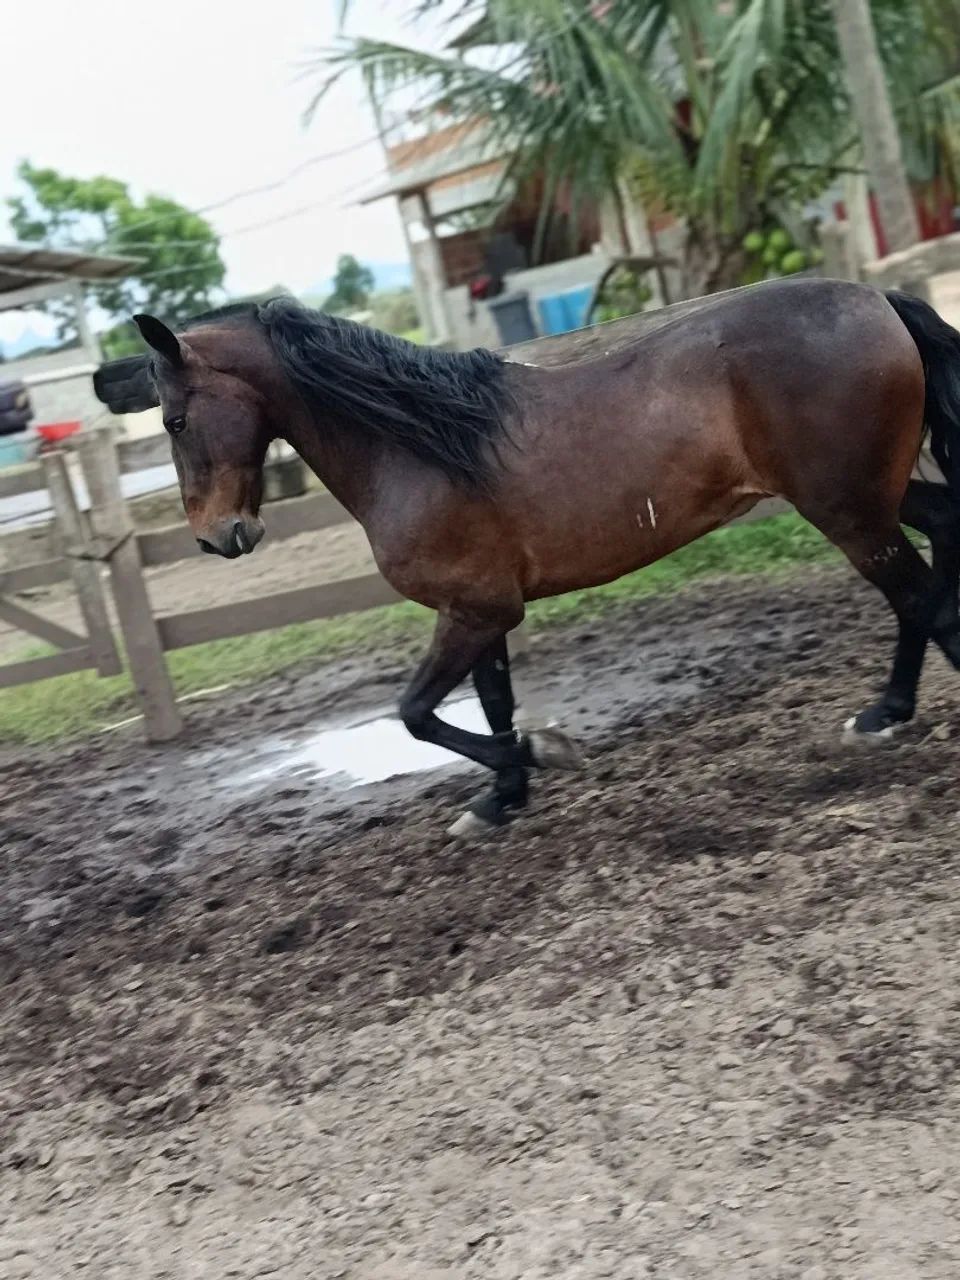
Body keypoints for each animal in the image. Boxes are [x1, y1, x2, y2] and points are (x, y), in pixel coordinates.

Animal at [93, 277, 960, 837]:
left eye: (173, 420)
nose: (218, 536)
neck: (416, 446)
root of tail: (879, 300)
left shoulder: (474, 611)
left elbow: (417, 713)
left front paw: (540, 755)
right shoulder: (480, 608)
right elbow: (488, 702)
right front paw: (500, 797)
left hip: (846, 507)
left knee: (917, 596)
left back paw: (888, 712)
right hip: (873, 496)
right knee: (936, 553)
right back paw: (890, 709)